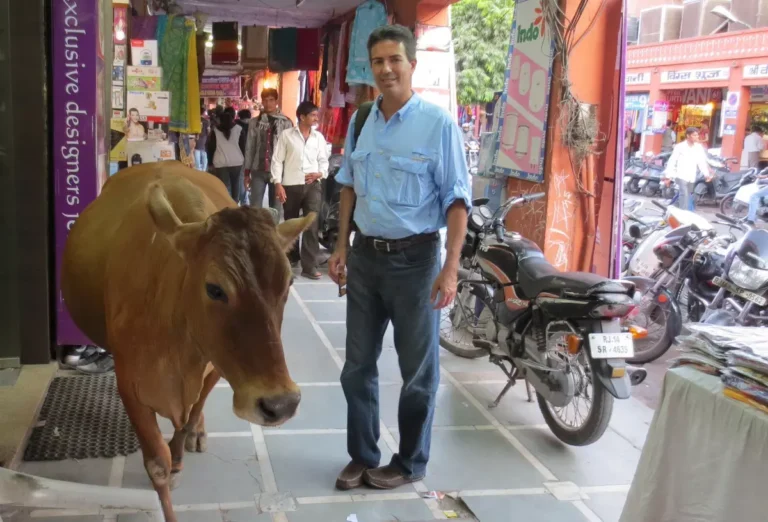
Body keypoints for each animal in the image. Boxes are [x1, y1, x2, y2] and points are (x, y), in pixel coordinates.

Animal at [58, 160, 314, 516]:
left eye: (288, 283)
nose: (281, 404)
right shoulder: (130, 385)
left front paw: (182, 450)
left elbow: (189, 416)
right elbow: (157, 465)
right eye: (214, 289)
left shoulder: (217, 367)